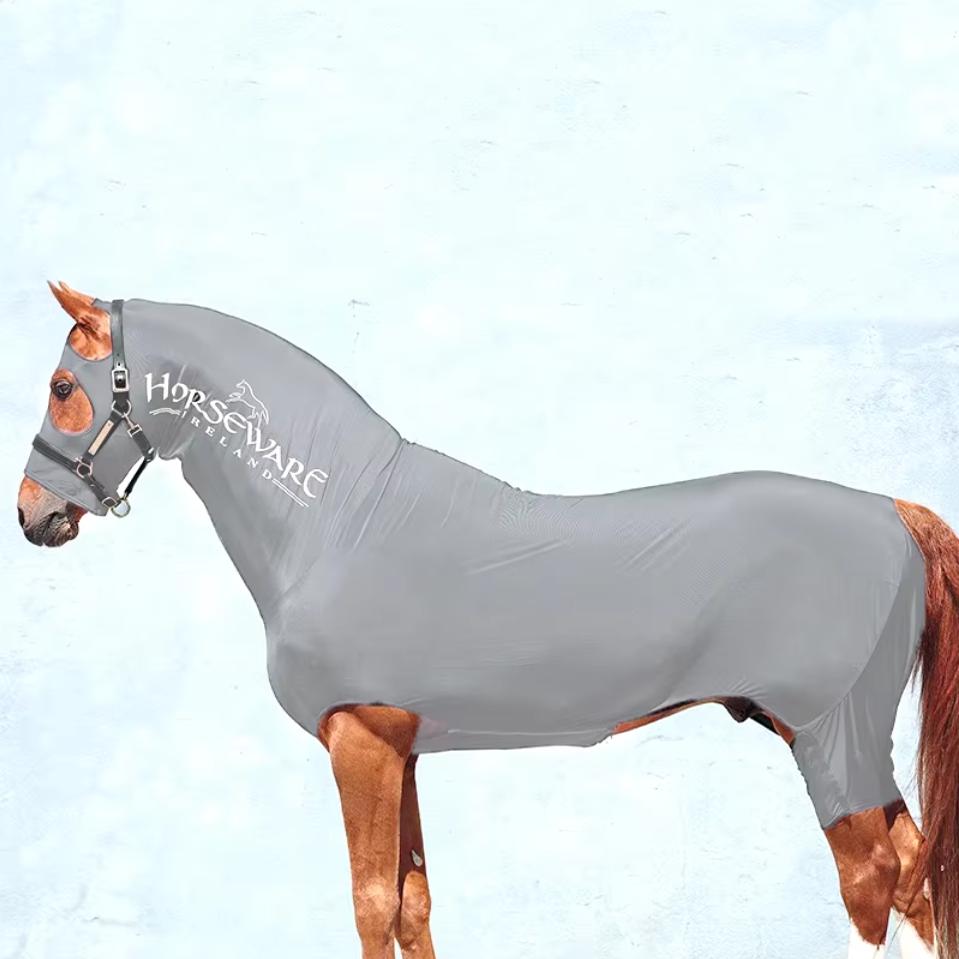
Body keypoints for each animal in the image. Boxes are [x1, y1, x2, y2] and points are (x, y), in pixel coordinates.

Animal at [17, 281, 956, 959]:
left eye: (64, 385)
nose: (32, 514)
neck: (338, 523)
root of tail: (893, 510)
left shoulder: (358, 742)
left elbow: (369, 904)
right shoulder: (398, 750)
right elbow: (412, 902)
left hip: (828, 735)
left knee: (874, 881)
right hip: (847, 741)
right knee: (915, 874)